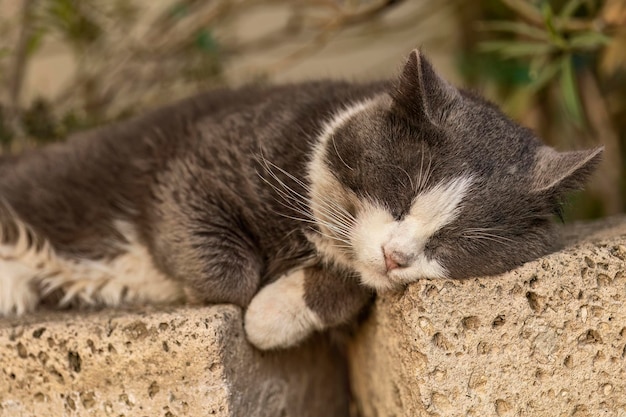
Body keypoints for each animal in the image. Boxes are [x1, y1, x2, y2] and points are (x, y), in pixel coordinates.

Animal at [0, 48, 600, 350]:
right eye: (402, 194)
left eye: (452, 240)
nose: (397, 255)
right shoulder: (197, 163)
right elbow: (230, 272)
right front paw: (226, 293)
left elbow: (352, 287)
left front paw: (272, 315)